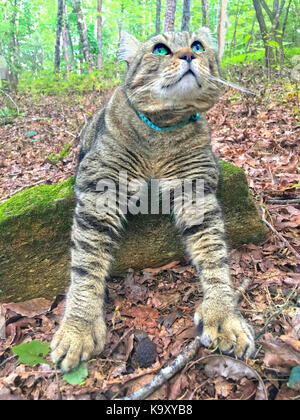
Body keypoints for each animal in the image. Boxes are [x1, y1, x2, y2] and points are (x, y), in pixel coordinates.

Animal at [50, 27, 254, 370]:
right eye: (160, 50)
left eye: (198, 45)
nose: (188, 54)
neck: (162, 130)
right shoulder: (100, 188)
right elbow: (86, 264)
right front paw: (79, 326)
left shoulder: (196, 189)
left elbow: (214, 254)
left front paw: (223, 313)